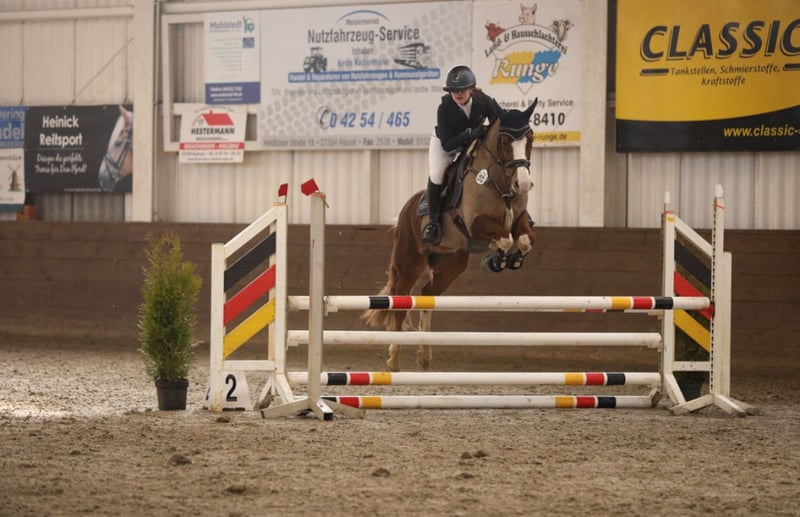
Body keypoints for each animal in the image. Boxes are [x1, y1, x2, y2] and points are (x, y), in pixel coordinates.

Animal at [364, 101, 538, 371]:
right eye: (504, 140)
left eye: (530, 137)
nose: (524, 184)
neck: (499, 182)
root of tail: (407, 208)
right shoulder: (475, 224)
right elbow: (505, 238)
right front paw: (496, 260)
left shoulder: (519, 219)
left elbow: (524, 240)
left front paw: (512, 259)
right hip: (409, 261)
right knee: (400, 302)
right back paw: (393, 359)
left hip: (451, 264)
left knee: (426, 294)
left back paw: (425, 356)